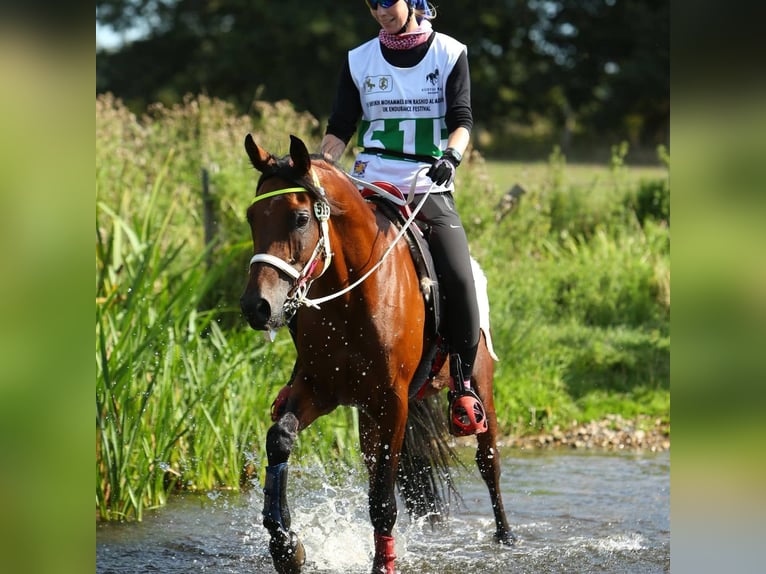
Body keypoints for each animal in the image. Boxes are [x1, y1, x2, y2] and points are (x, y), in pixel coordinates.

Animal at [239, 134, 515, 574]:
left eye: (299, 219)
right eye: (252, 217)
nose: (257, 307)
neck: (350, 297)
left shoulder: (392, 401)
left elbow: (383, 500)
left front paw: (382, 565)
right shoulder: (319, 388)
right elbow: (280, 438)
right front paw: (286, 547)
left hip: (479, 386)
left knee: (489, 462)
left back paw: (506, 536)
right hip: (368, 417)